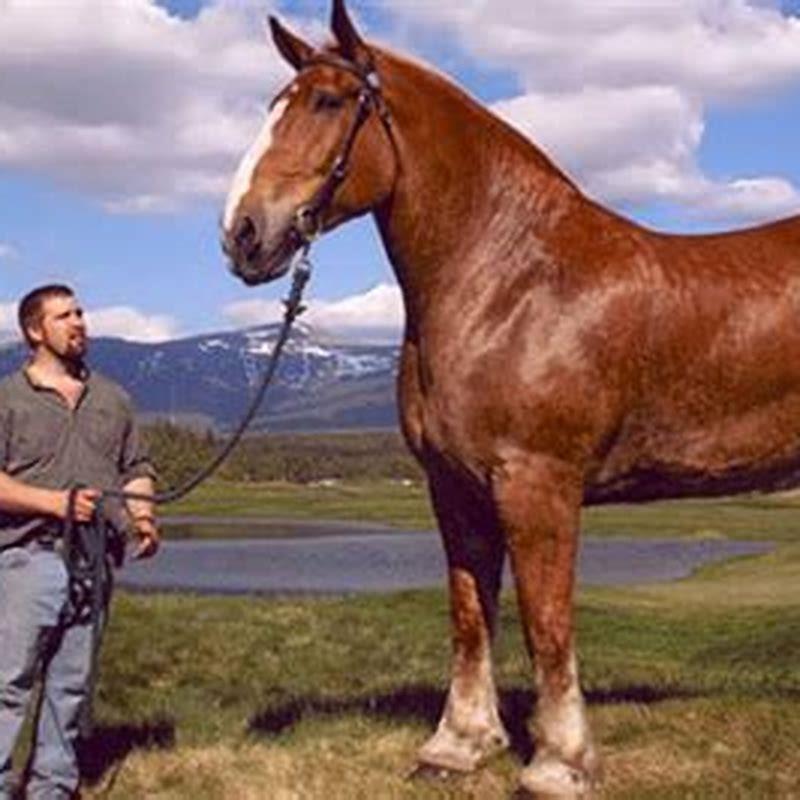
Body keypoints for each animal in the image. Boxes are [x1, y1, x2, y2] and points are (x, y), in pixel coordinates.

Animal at [221, 2, 800, 796]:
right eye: (275, 104)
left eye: (329, 102)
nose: (242, 234)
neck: (514, 283)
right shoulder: (454, 488)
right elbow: (471, 616)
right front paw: (459, 746)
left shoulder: (537, 484)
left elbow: (545, 622)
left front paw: (559, 763)